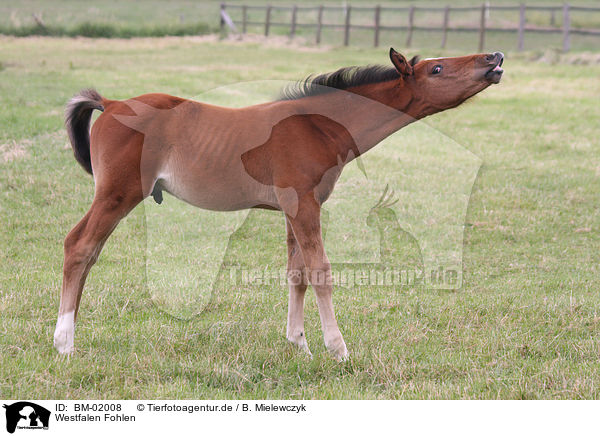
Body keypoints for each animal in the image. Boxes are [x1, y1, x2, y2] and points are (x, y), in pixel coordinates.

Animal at [56, 49, 504, 360]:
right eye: (437, 69)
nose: (495, 58)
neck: (318, 125)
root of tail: (112, 104)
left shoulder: (294, 208)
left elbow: (297, 274)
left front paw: (299, 345)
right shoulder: (304, 205)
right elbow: (321, 271)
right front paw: (338, 349)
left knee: (87, 251)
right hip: (117, 194)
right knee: (79, 246)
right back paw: (64, 343)